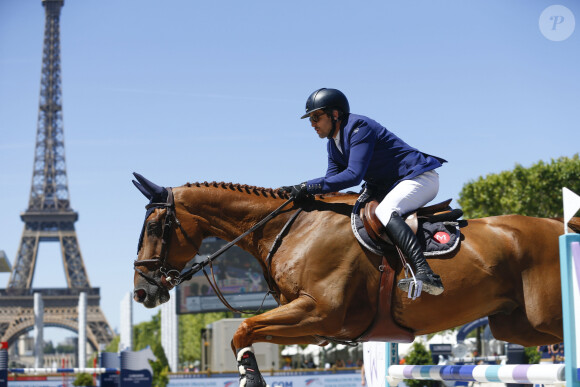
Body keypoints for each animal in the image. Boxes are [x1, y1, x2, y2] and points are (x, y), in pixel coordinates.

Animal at [133, 176, 580, 382]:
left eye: (155, 227)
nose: (142, 292)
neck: (289, 229)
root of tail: (558, 225)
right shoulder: (315, 328)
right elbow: (247, 332)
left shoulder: (319, 312)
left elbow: (242, 329)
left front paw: (251, 379)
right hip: (517, 325)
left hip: (545, 316)